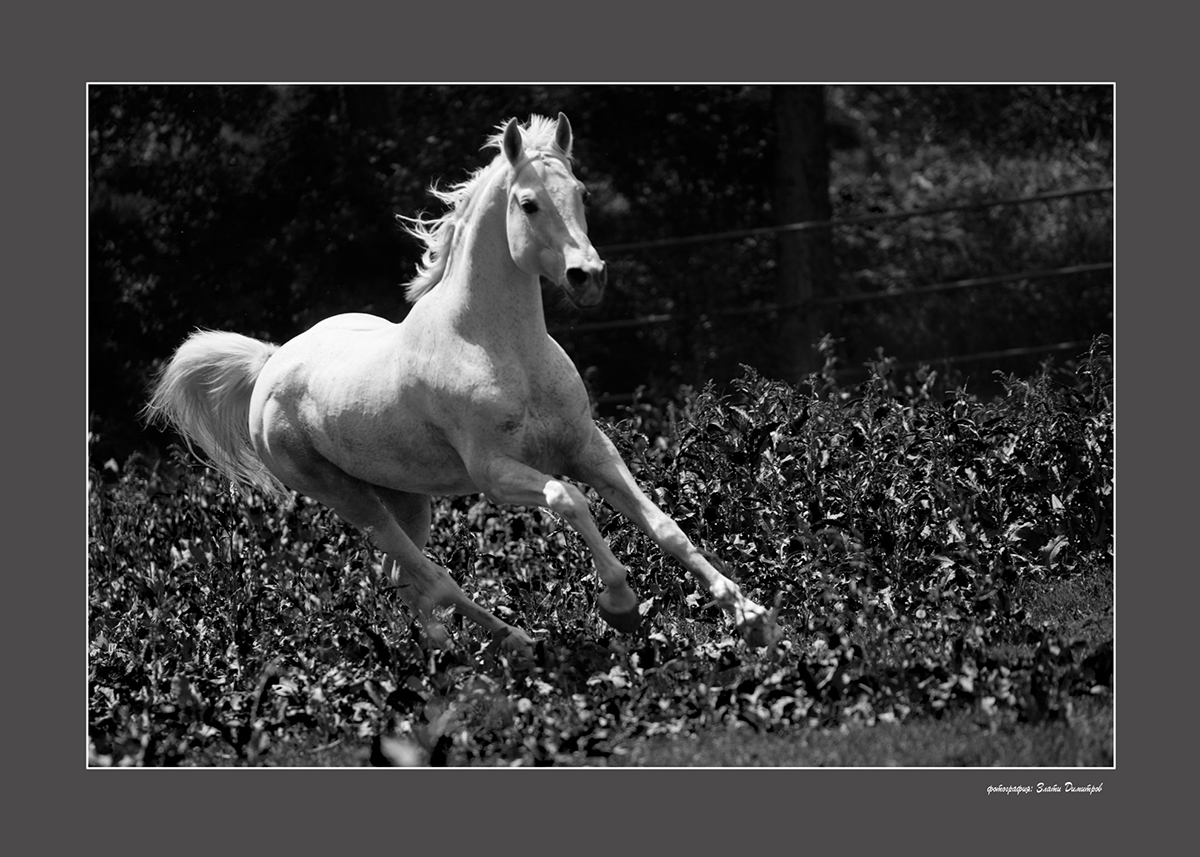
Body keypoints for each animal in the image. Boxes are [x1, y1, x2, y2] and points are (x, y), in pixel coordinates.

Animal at [146, 112, 772, 653]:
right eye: (528, 203)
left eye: (583, 193)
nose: (587, 277)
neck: (503, 349)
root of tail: (271, 364)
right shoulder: (495, 473)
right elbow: (567, 500)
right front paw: (619, 605)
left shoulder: (589, 448)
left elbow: (664, 526)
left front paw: (752, 619)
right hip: (345, 497)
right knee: (432, 578)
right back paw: (508, 647)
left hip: (407, 498)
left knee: (405, 580)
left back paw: (449, 660)